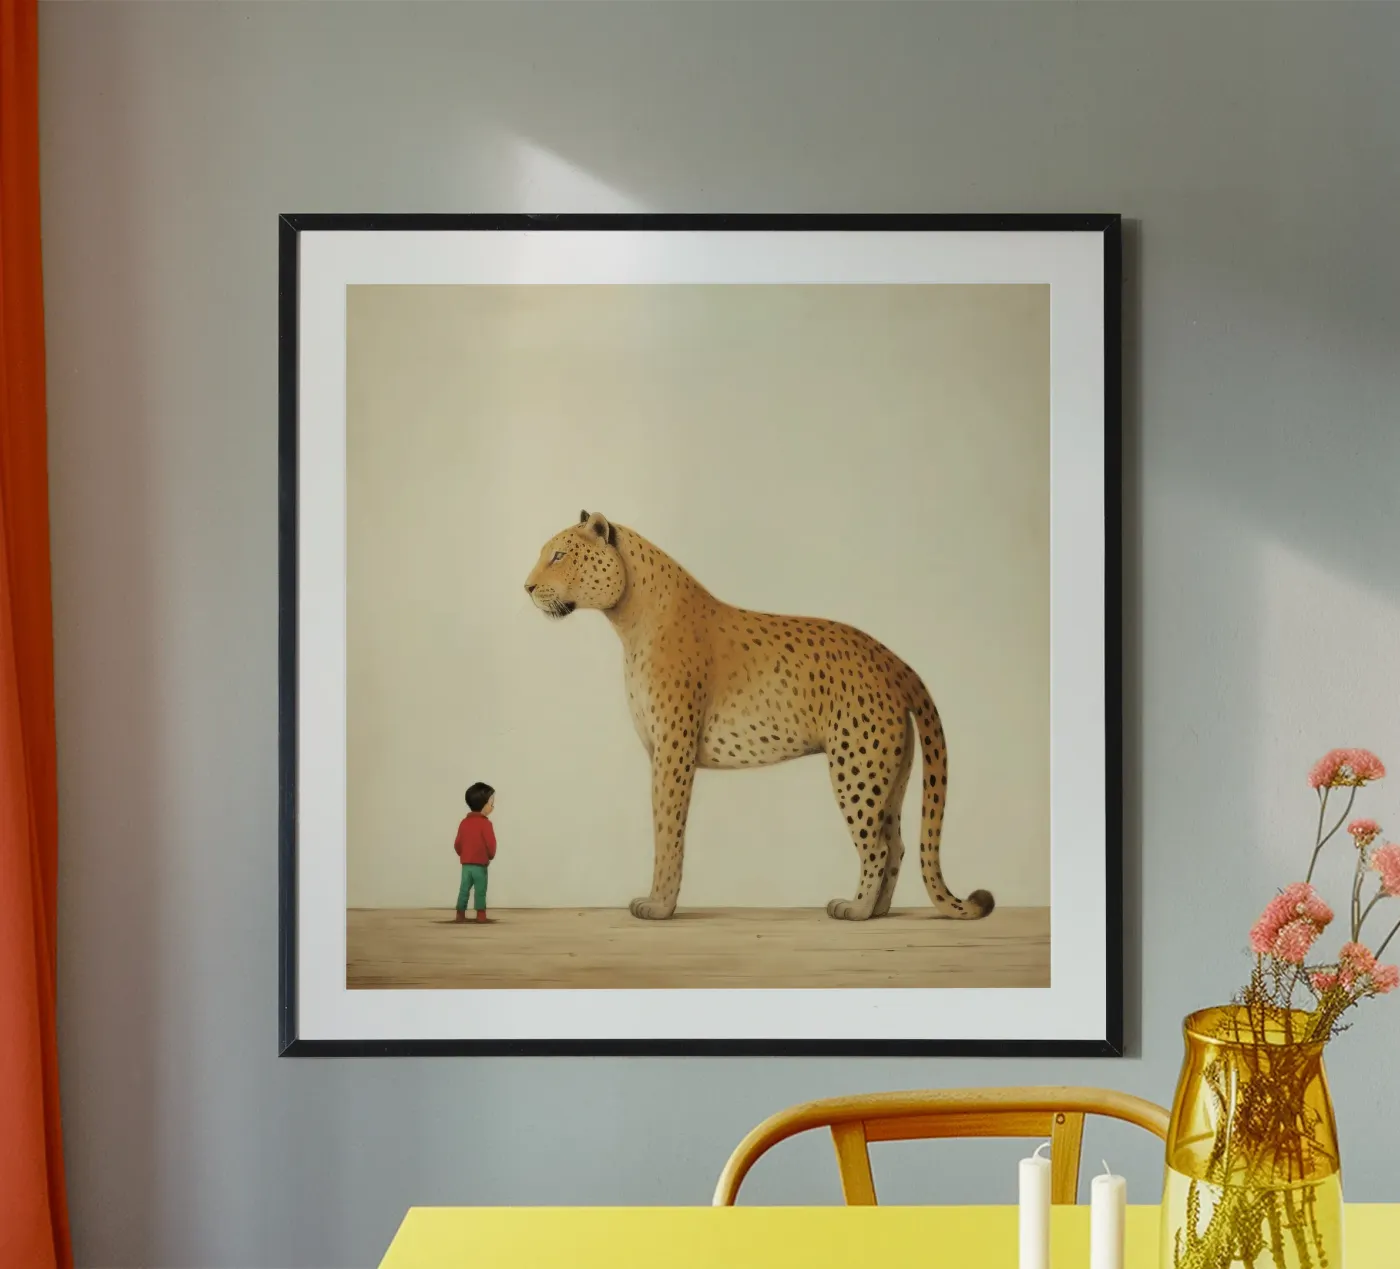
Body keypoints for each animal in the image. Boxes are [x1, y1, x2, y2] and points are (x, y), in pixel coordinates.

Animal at [523, 511, 994, 923]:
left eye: (559, 556)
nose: (527, 587)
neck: (629, 617)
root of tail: (893, 659)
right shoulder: (661, 751)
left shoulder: (673, 752)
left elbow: (667, 831)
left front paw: (658, 907)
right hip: (891, 774)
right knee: (895, 844)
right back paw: (877, 911)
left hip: (856, 768)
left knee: (876, 847)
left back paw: (855, 910)